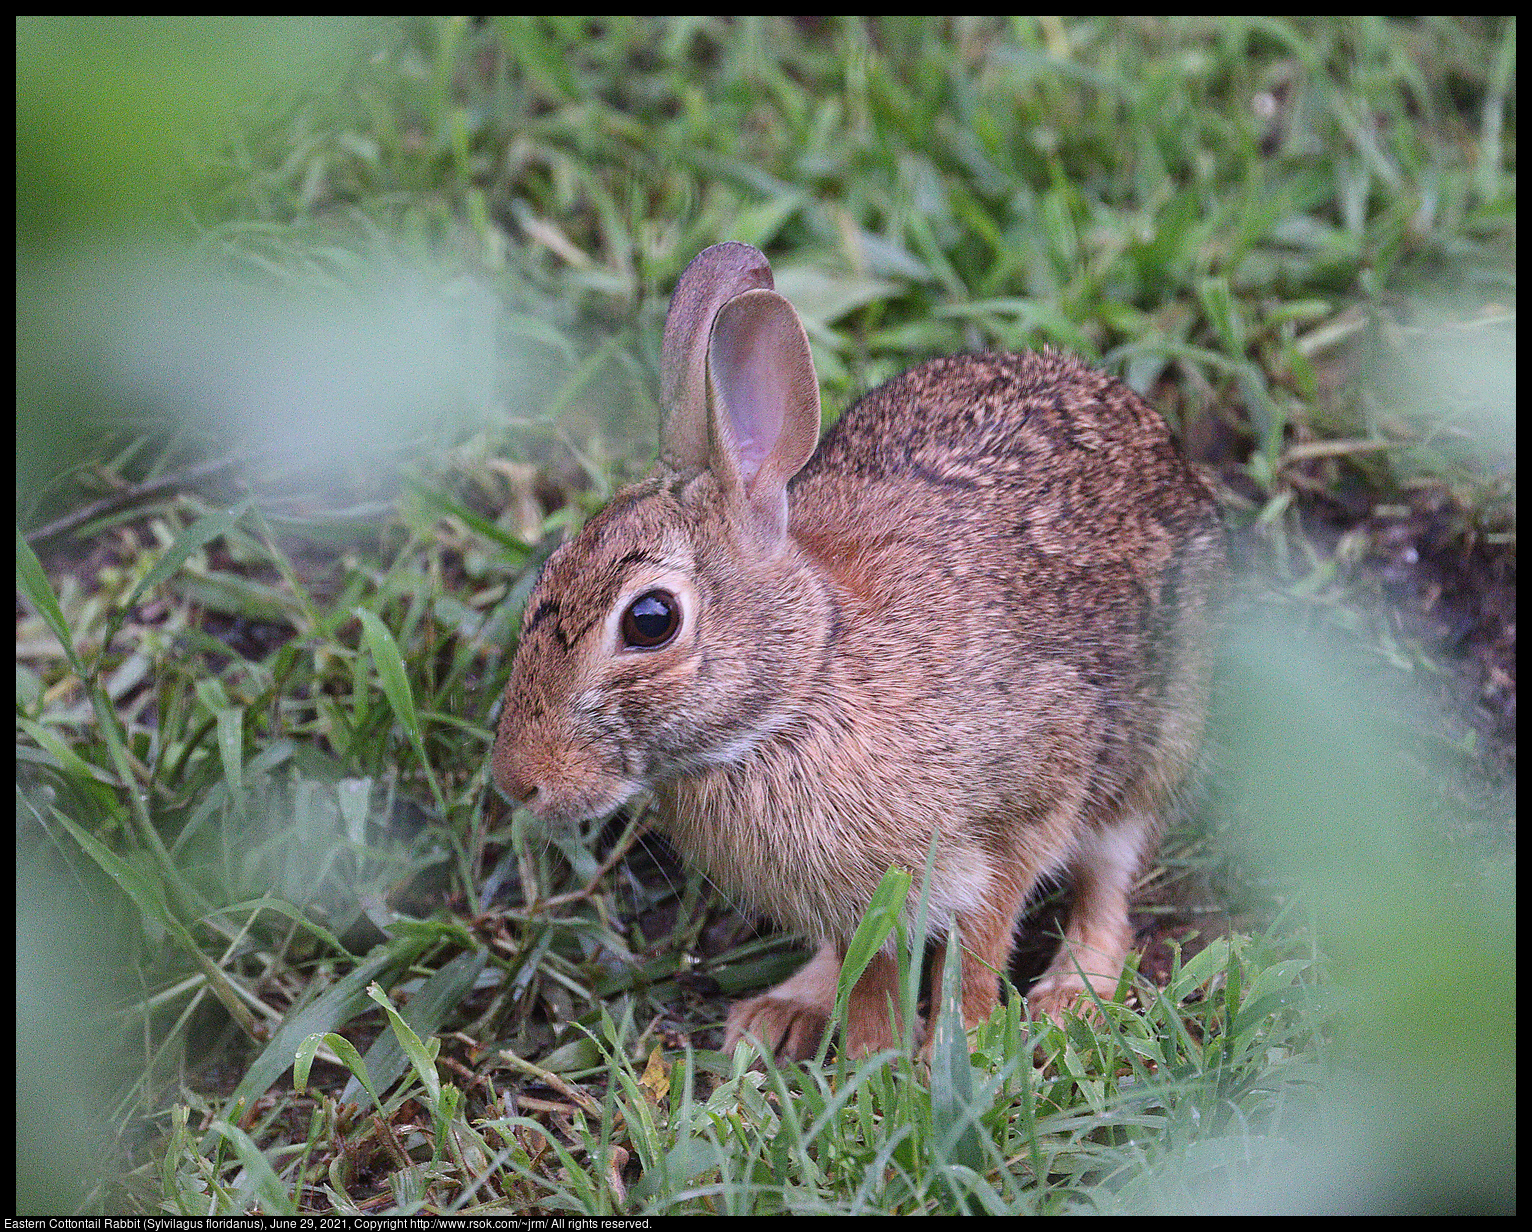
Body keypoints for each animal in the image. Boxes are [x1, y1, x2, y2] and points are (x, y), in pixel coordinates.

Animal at [490, 240, 1219, 1060]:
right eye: (551, 568)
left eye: (650, 620)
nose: (517, 783)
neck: (801, 690)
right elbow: (868, 973)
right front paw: (877, 1056)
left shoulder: (1030, 799)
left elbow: (982, 944)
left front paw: (955, 1050)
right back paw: (781, 1013)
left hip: (1157, 744)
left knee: (1109, 877)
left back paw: (1070, 996)